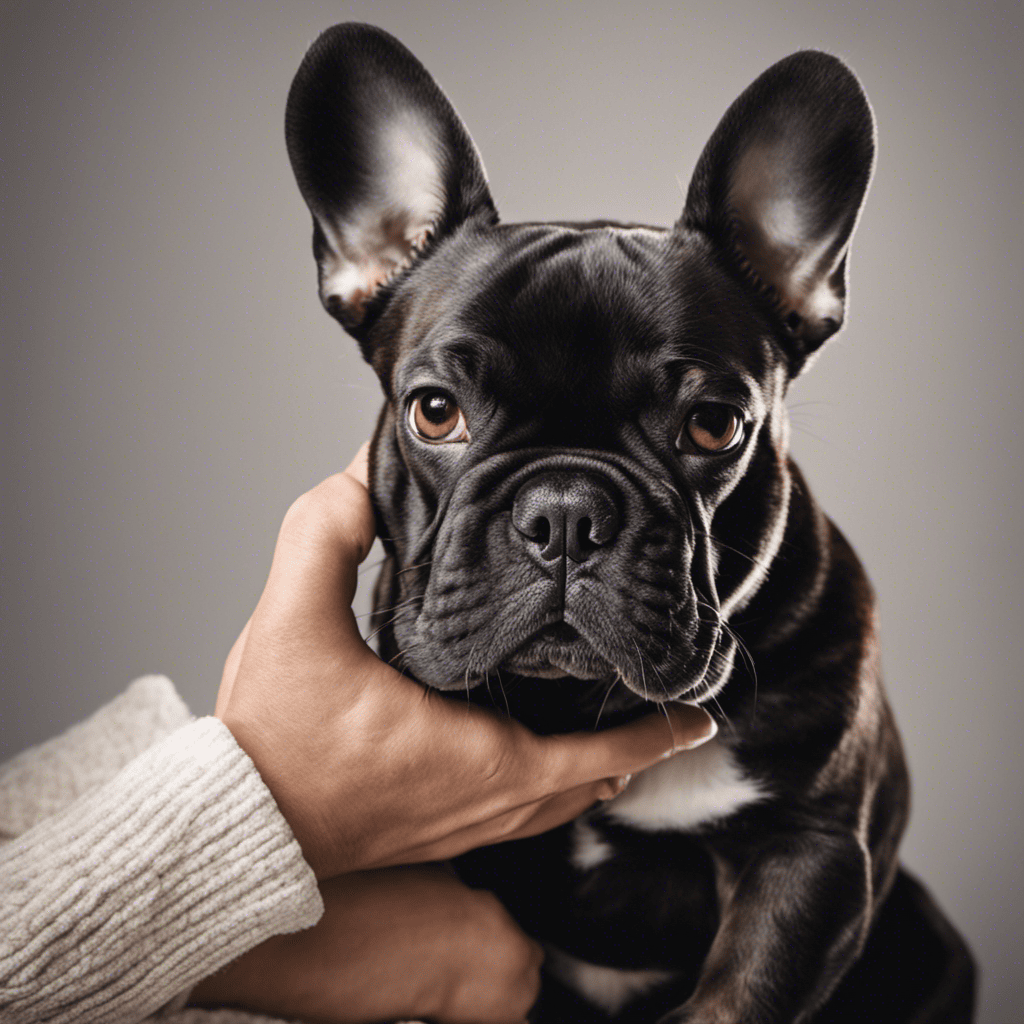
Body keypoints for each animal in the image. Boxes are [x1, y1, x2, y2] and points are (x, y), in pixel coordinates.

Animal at [284, 24, 970, 1024]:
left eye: (715, 426)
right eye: (435, 412)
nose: (566, 512)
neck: (579, 707)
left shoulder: (811, 851)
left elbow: (738, 999)